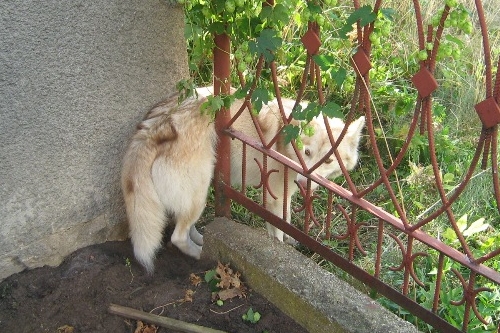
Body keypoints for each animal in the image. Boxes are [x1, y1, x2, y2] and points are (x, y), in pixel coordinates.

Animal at [121, 86, 364, 272]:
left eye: (328, 159)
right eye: (307, 153)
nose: (304, 184)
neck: (284, 139)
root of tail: (156, 127)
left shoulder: (282, 195)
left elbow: (285, 221)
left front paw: (290, 240)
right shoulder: (275, 197)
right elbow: (277, 230)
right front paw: (281, 250)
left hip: (193, 196)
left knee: (185, 226)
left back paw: (200, 239)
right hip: (199, 193)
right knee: (177, 237)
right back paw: (200, 253)